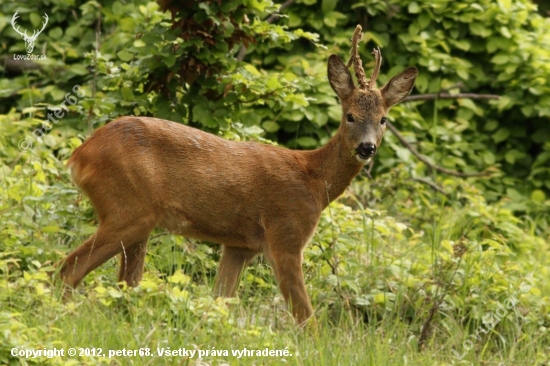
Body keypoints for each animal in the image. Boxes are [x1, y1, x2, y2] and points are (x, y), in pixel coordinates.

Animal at [56, 25, 418, 324]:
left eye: (384, 119)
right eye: (350, 116)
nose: (367, 148)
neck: (314, 180)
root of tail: (78, 156)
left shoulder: (240, 245)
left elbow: (219, 302)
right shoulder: (285, 235)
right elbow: (306, 317)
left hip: (137, 222)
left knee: (124, 285)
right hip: (129, 209)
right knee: (68, 269)